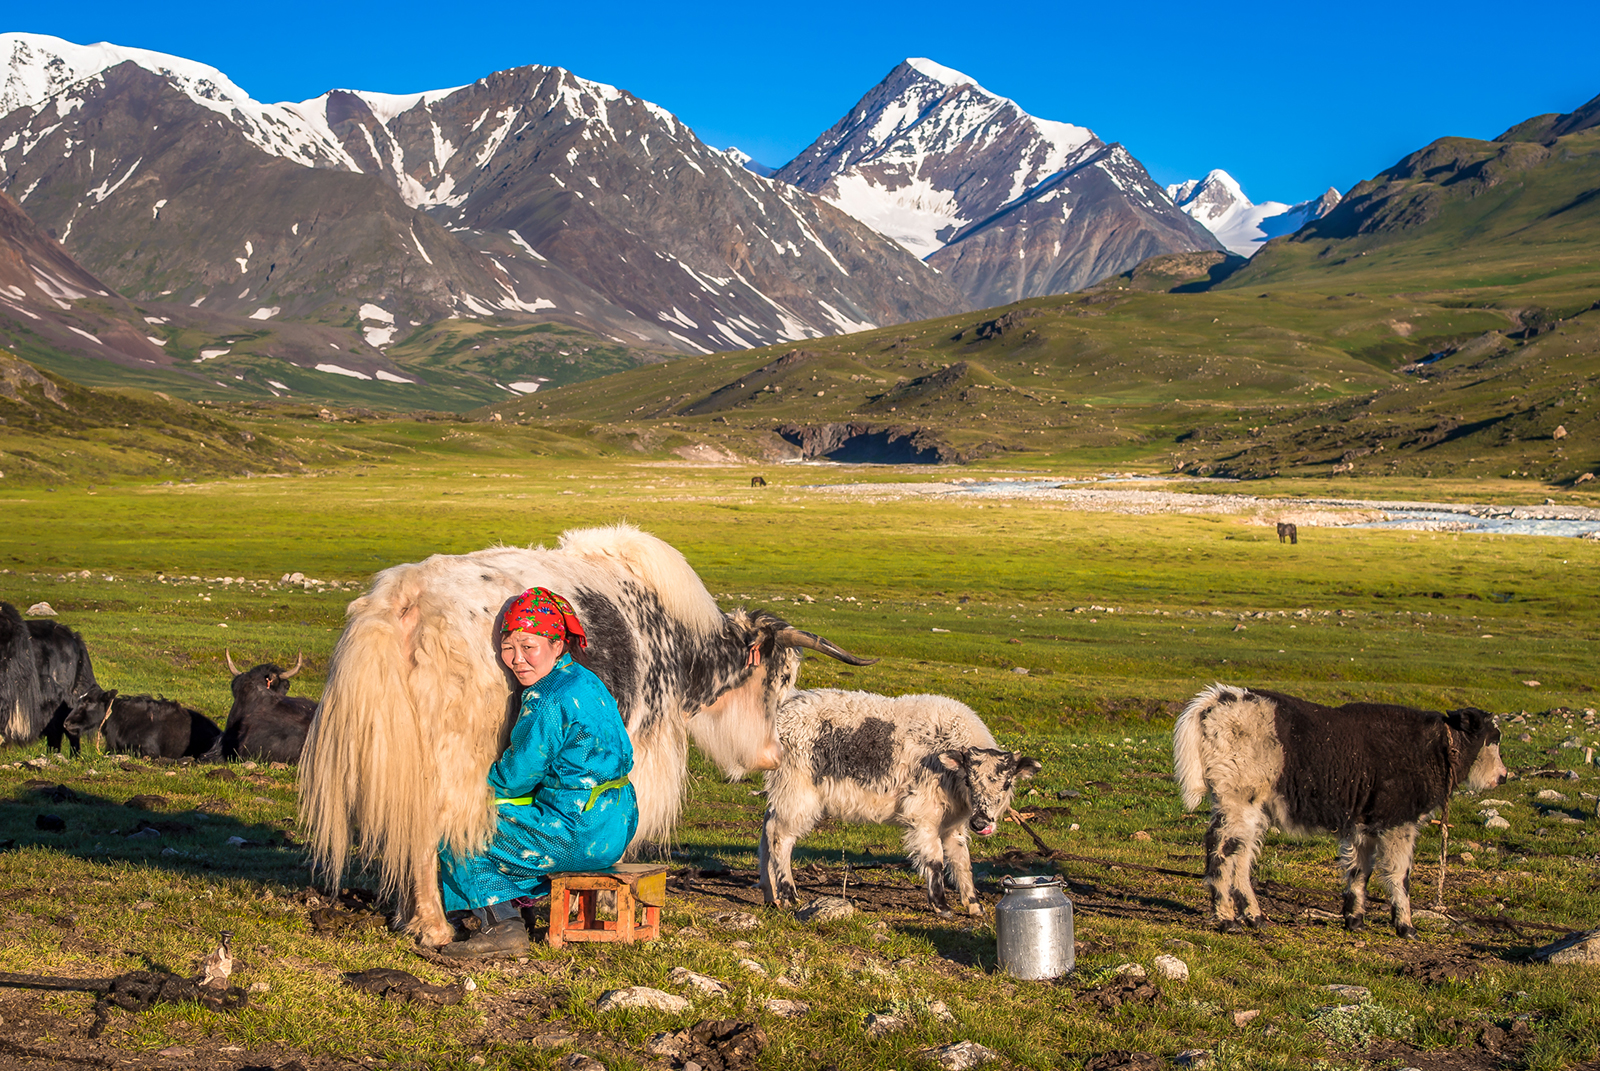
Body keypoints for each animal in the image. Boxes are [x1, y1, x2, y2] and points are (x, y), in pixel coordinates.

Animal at [758, 688, 1043, 915]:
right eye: (969, 780)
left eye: (1006, 784)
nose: (981, 823)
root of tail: (786, 709)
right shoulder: (923, 815)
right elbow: (935, 860)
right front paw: (942, 906)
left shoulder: (953, 825)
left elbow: (962, 861)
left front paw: (975, 906)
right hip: (797, 792)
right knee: (780, 836)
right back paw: (789, 895)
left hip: (783, 792)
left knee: (767, 828)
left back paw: (770, 894)